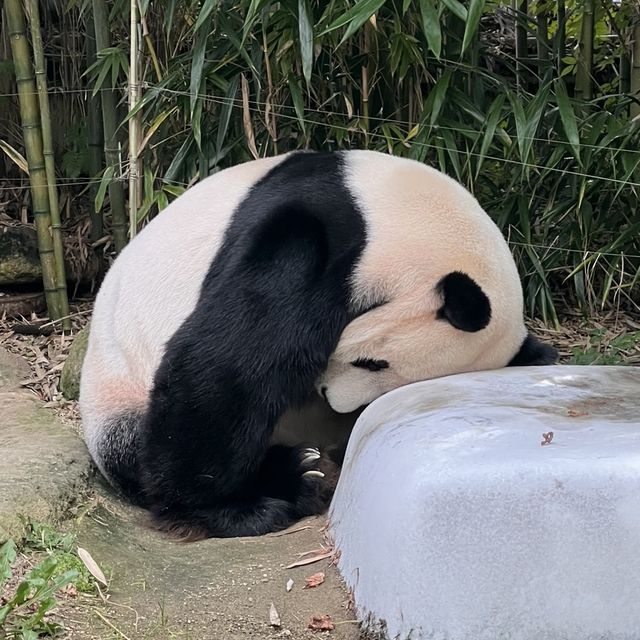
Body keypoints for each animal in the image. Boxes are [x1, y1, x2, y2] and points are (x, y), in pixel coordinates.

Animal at [79, 150, 556, 540]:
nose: (331, 399)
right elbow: (229, 362)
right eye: (373, 363)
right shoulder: (319, 238)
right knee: (135, 447)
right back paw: (294, 477)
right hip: (116, 393)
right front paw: (228, 510)